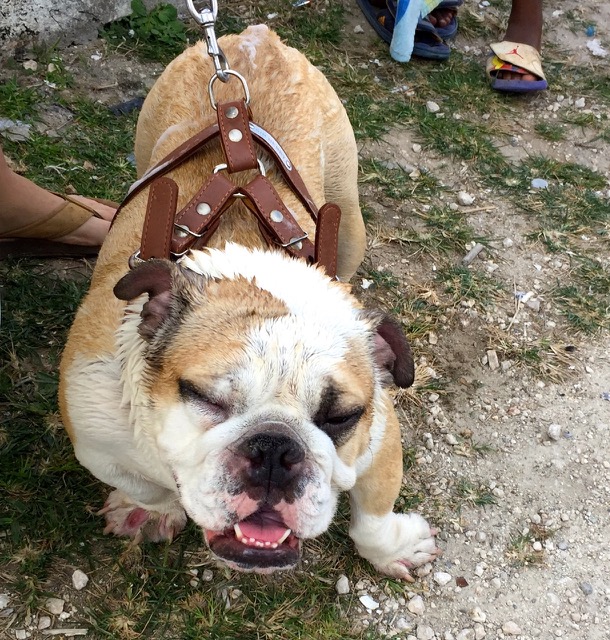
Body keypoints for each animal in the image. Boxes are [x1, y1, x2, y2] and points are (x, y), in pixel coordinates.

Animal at [58, 25, 436, 576]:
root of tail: (258, 39)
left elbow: (374, 510)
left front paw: (392, 547)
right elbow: (143, 484)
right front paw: (150, 510)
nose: (276, 449)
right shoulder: (95, 434)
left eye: (340, 418)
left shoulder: (381, 436)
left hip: (348, 220)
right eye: (205, 398)